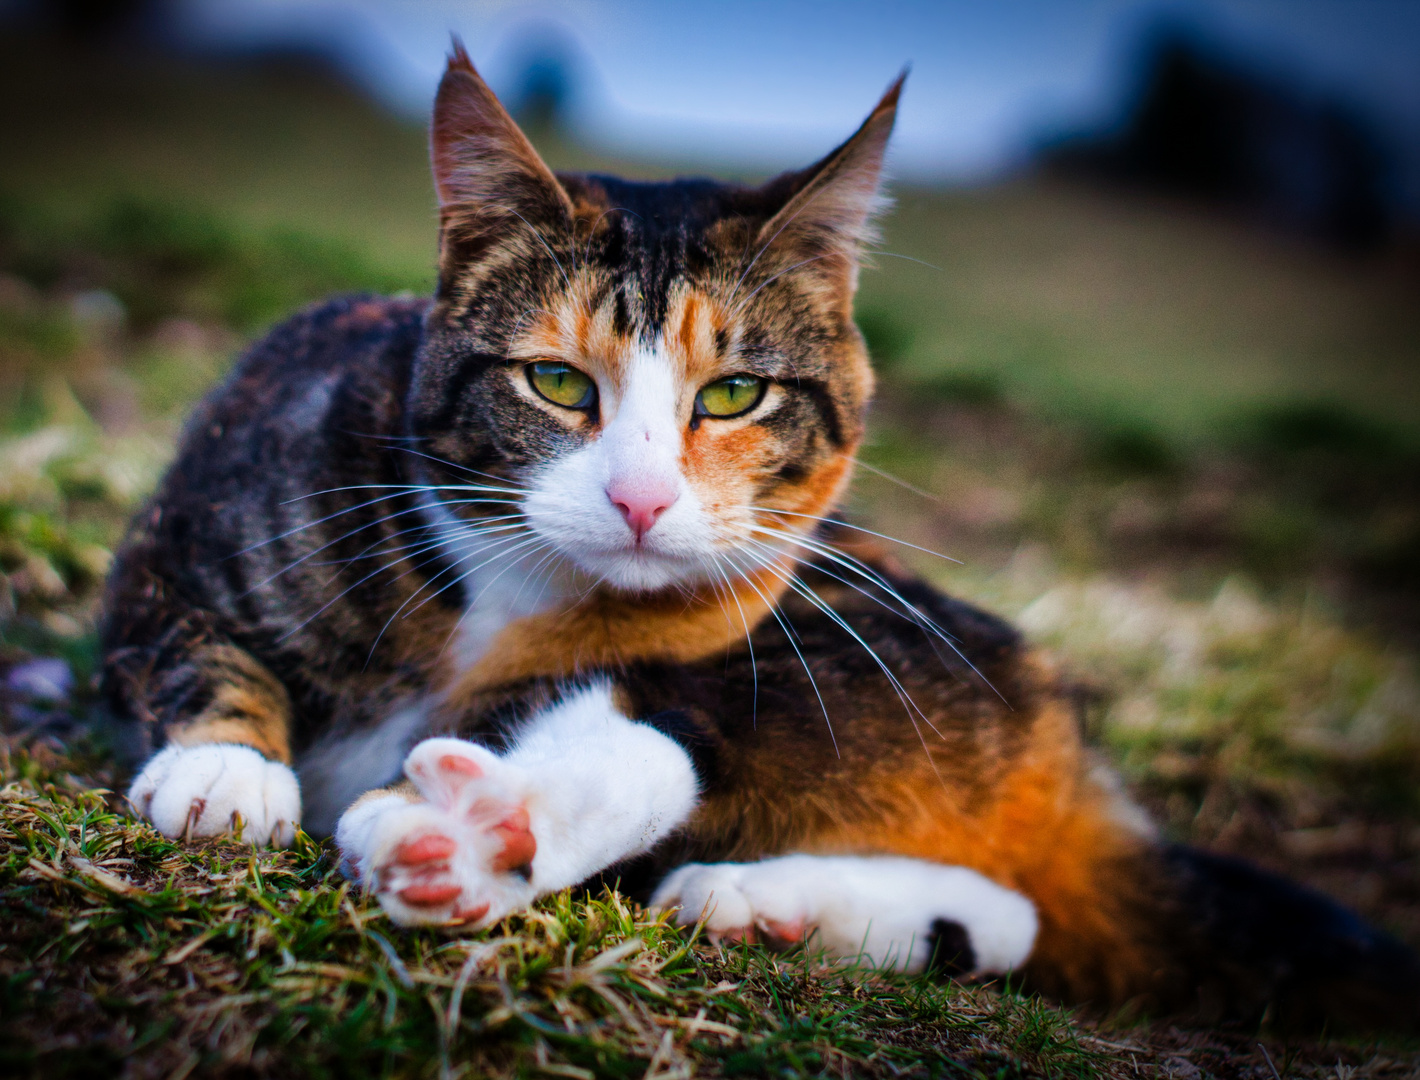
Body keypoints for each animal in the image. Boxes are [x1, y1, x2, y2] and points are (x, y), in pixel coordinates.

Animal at [94, 46, 1414, 1033]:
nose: (638, 501)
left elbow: (623, 719)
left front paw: (475, 828)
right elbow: (193, 642)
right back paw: (754, 902)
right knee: (1001, 911)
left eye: (734, 395)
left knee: (706, 753)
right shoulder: (187, 520)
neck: (499, 586)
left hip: (844, 638)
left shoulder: (721, 635)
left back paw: (573, 856)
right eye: (554, 382)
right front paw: (227, 766)